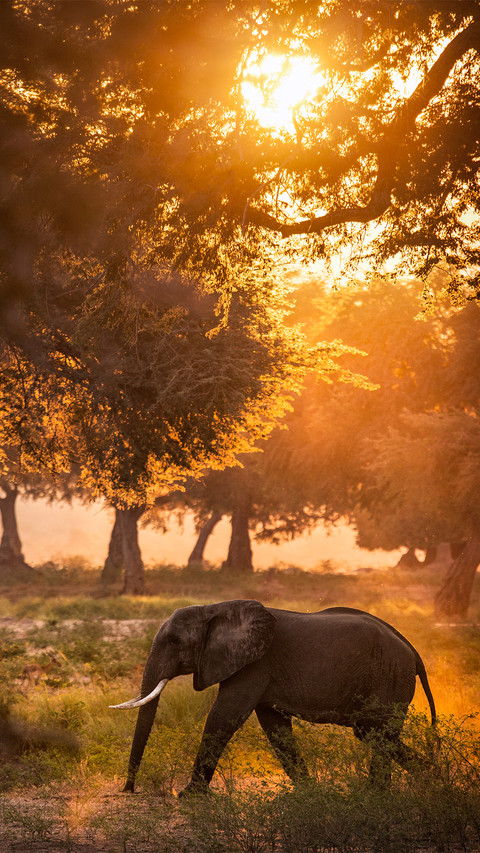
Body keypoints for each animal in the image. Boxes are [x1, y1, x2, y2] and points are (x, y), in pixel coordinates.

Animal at [110, 600, 436, 795]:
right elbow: (275, 727)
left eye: (175, 641)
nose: (129, 790)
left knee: (379, 733)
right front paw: (309, 792)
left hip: (389, 676)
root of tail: (412, 651)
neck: (214, 608)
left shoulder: (255, 664)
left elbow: (223, 717)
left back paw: (378, 794)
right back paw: (429, 778)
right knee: (373, 733)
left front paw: (188, 796)